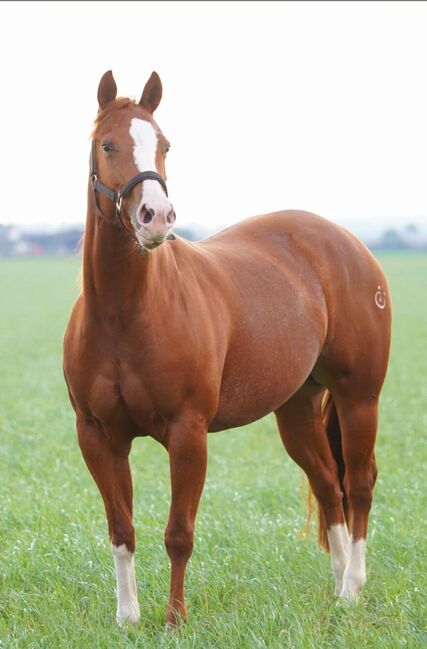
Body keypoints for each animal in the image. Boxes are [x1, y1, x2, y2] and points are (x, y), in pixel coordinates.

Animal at [61, 69, 392, 624]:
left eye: (165, 145)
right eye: (107, 144)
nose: (155, 216)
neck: (122, 314)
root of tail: (346, 242)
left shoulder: (187, 433)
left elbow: (178, 533)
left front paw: (175, 620)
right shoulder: (98, 436)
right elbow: (122, 529)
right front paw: (128, 618)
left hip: (358, 398)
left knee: (360, 484)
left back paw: (353, 588)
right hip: (296, 410)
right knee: (328, 483)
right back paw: (337, 582)